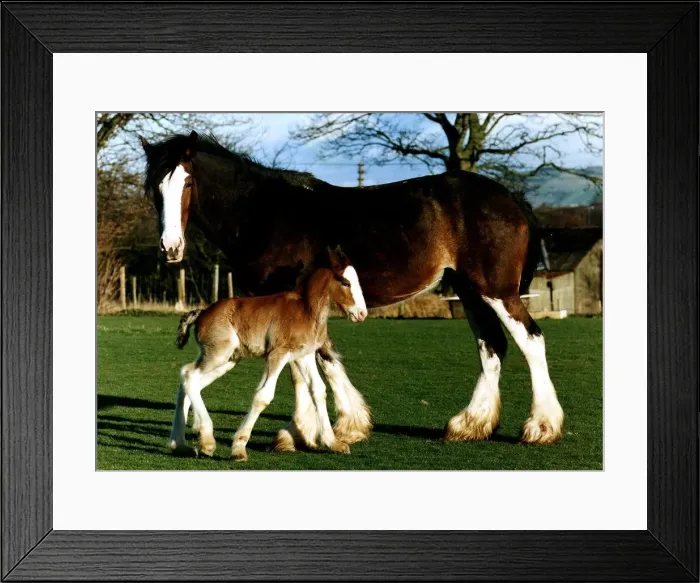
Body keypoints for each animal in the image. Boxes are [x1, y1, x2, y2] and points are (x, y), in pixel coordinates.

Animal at [170, 245, 368, 461]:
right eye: (346, 282)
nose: (362, 314)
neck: (306, 309)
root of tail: (202, 312)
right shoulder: (277, 354)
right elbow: (263, 395)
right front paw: (239, 448)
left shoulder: (304, 356)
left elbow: (319, 390)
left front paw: (333, 442)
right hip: (218, 355)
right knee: (189, 375)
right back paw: (206, 441)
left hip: (227, 360)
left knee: (188, 380)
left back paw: (180, 444)